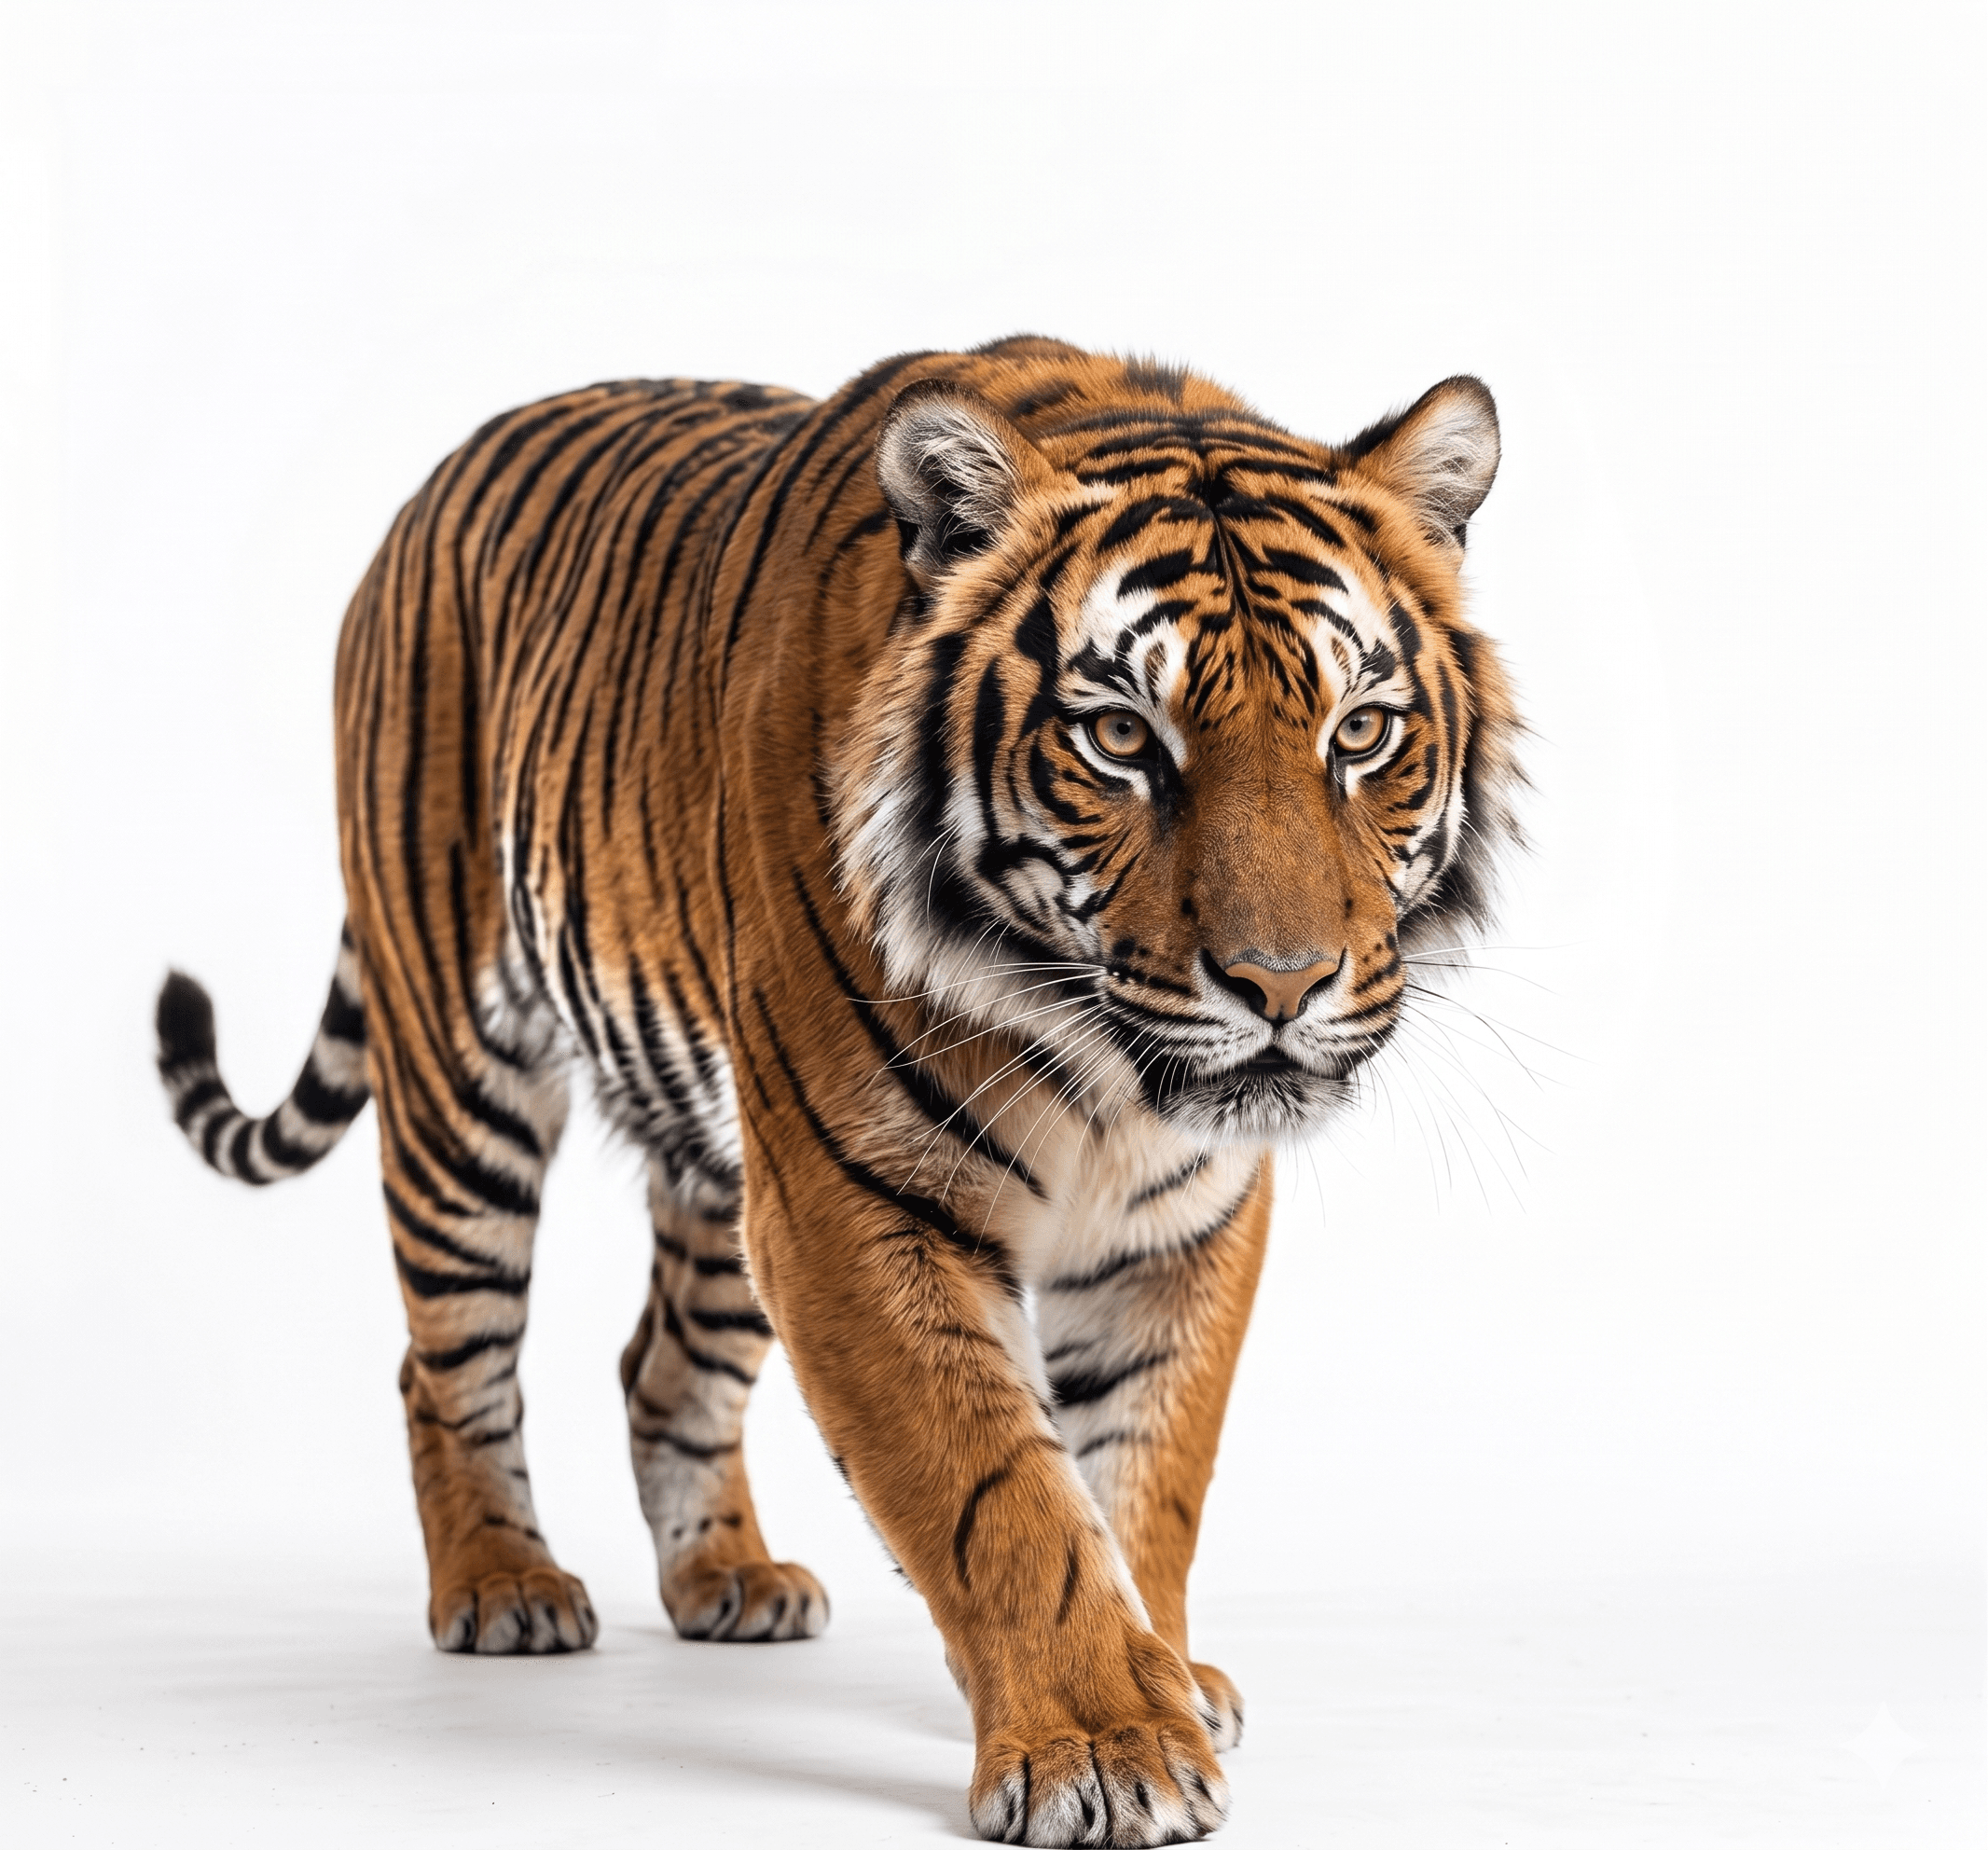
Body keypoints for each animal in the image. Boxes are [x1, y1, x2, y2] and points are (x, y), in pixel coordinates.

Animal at [156, 335, 1519, 1847]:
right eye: (1119, 738)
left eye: (1362, 731)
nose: (1281, 986)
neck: (1096, 1060)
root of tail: (437, 478)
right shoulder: (854, 1203)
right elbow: (1001, 1489)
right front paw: (1106, 1744)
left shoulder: (1178, 1223)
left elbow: (1142, 1473)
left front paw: (1161, 1672)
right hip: (464, 1073)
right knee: (443, 1354)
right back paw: (503, 1586)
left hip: (719, 1160)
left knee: (661, 1366)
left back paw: (726, 1583)